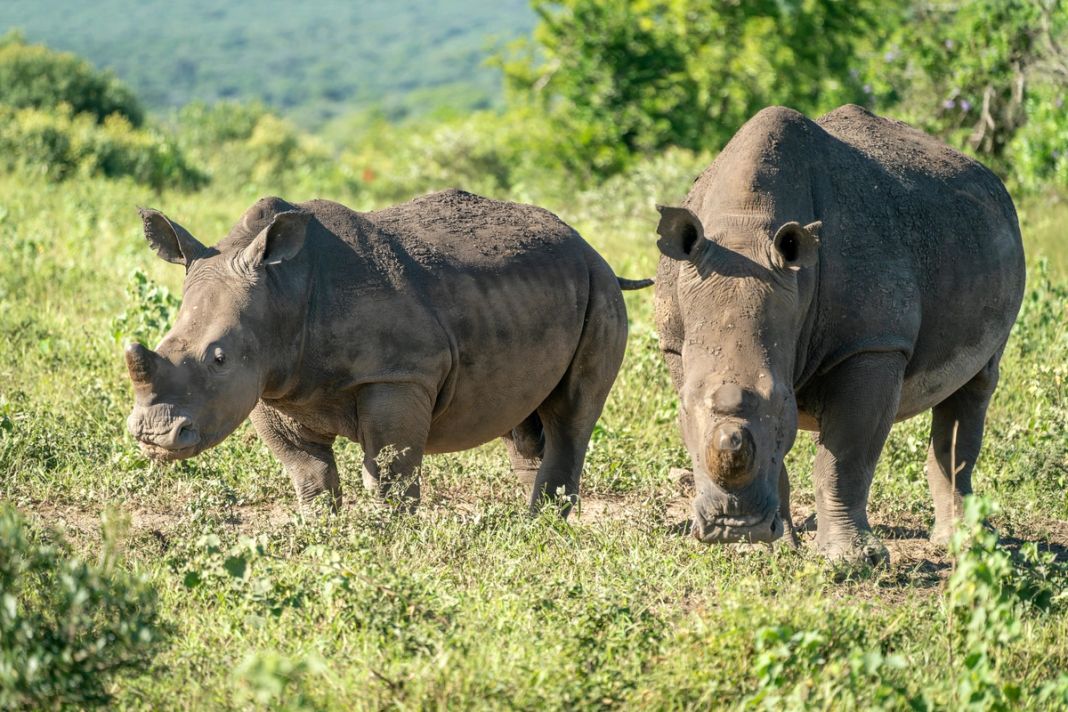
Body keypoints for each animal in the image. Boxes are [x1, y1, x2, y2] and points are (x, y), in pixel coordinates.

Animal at [125, 190, 651, 513]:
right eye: (165, 342)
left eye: (218, 359)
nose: (153, 435)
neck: (282, 291)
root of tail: (589, 246)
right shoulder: (270, 388)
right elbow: (309, 473)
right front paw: (322, 537)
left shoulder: (398, 373)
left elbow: (390, 473)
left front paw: (385, 544)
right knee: (523, 421)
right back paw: (531, 525)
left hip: (600, 287)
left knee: (570, 416)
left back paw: (538, 530)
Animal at [654, 105, 1025, 564]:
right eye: (683, 409)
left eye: (783, 401)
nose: (731, 527)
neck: (744, 232)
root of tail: (990, 178)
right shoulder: (676, 342)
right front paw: (772, 548)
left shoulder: (872, 344)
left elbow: (845, 457)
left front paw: (854, 561)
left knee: (977, 384)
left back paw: (966, 543)